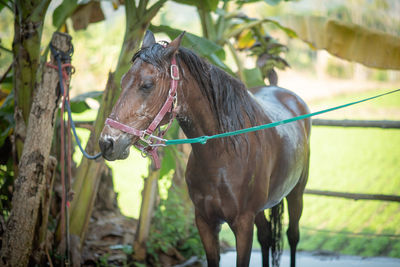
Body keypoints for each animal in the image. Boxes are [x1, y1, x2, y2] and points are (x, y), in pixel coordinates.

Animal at [98, 30, 310, 266]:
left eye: (147, 84)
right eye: (123, 81)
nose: (107, 142)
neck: (223, 156)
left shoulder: (243, 225)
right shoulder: (205, 222)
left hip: (296, 194)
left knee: (292, 236)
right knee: (265, 237)